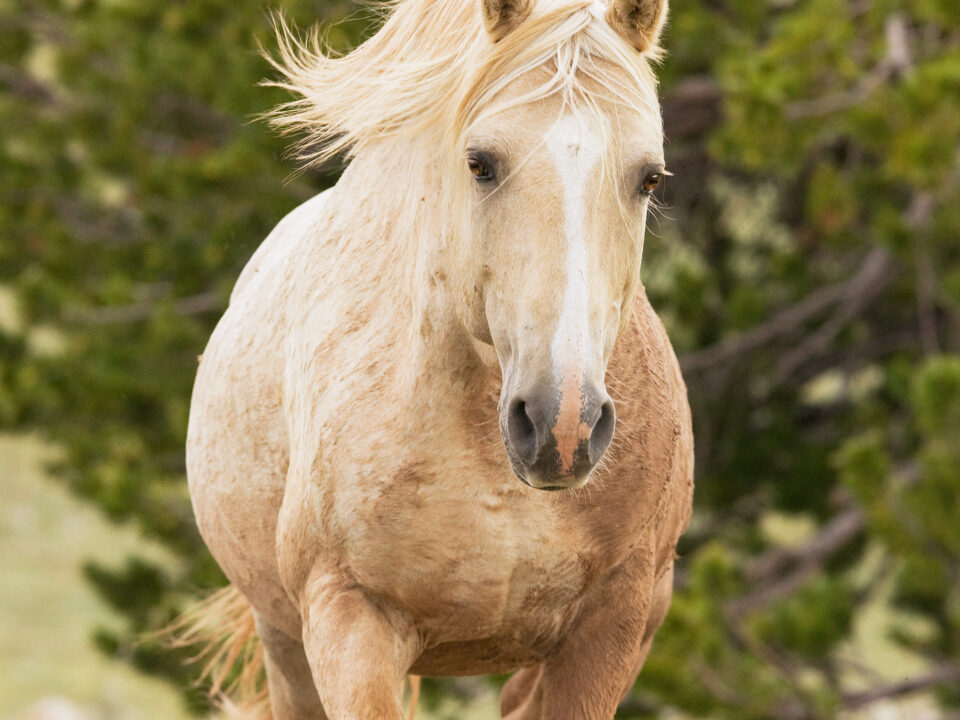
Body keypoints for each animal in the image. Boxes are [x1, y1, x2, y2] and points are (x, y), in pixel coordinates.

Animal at [182, 0, 688, 716]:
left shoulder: (609, 627)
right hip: (284, 641)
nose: (562, 425)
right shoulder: (350, 620)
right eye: (479, 162)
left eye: (649, 178)